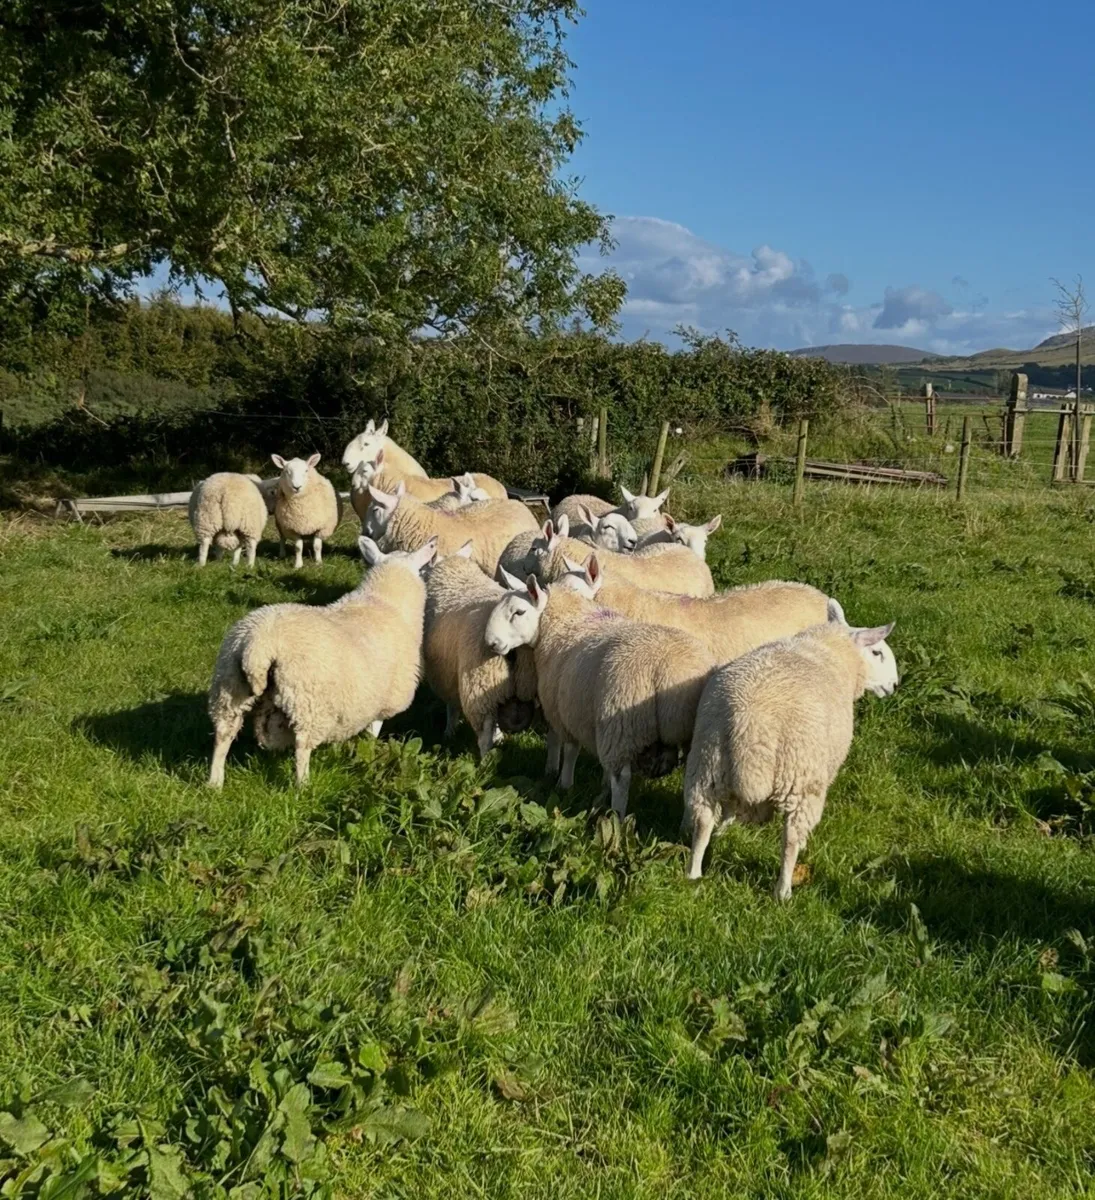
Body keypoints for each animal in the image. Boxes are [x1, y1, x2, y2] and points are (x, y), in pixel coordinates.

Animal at [207, 535, 439, 788]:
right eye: (422, 570)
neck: (384, 601)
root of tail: (258, 646)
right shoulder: (383, 702)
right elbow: (372, 733)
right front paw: (368, 751)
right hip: (308, 702)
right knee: (302, 747)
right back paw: (303, 785)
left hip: (229, 688)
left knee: (223, 735)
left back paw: (214, 783)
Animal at [423, 543, 538, 757]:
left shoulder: (447, 673)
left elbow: (452, 706)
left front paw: (449, 732)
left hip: (479, 685)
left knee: (484, 735)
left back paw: (484, 762)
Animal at [484, 572, 715, 816]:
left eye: (519, 612)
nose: (491, 642)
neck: (562, 622)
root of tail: (669, 673)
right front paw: (598, 783)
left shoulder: (562, 707)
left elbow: (567, 748)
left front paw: (562, 782)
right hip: (687, 734)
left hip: (622, 724)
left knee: (622, 778)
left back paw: (617, 816)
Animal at [681, 601, 898, 899]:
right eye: (877, 653)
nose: (895, 684)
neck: (833, 649)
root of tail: (751, 724)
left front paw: (726, 828)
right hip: (801, 780)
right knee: (790, 840)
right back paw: (783, 891)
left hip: (706, 766)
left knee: (702, 821)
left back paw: (694, 873)